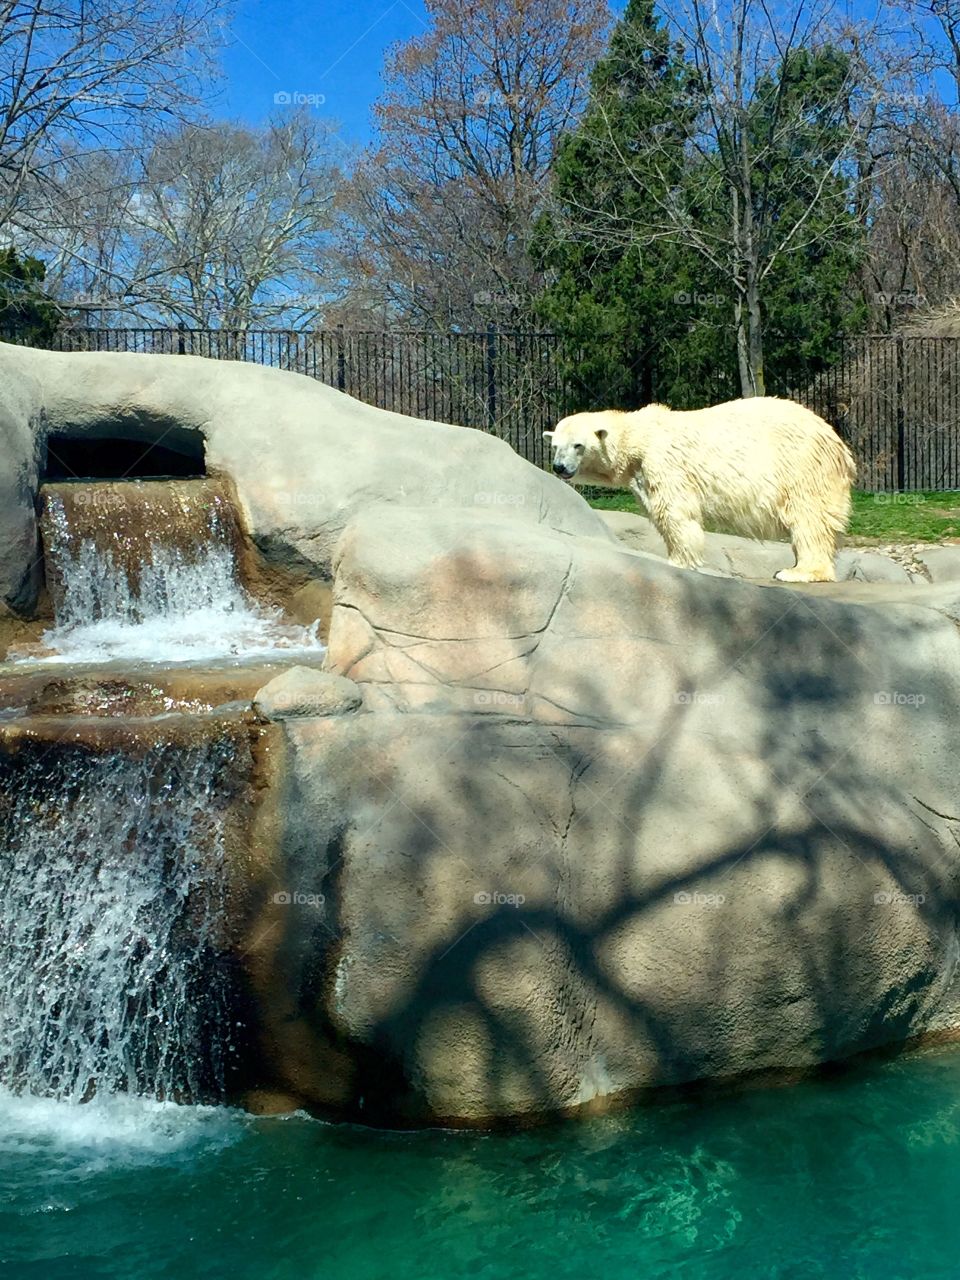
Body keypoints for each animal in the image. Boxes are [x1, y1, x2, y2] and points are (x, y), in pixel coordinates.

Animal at [544, 397, 856, 584]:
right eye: (555, 445)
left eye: (578, 445)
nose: (559, 467)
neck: (640, 436)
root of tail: (838, 445)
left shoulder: (664, 462)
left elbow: (675, 512)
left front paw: (678, 561)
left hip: (802, 467)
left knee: (809, 518)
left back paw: (796, 572)